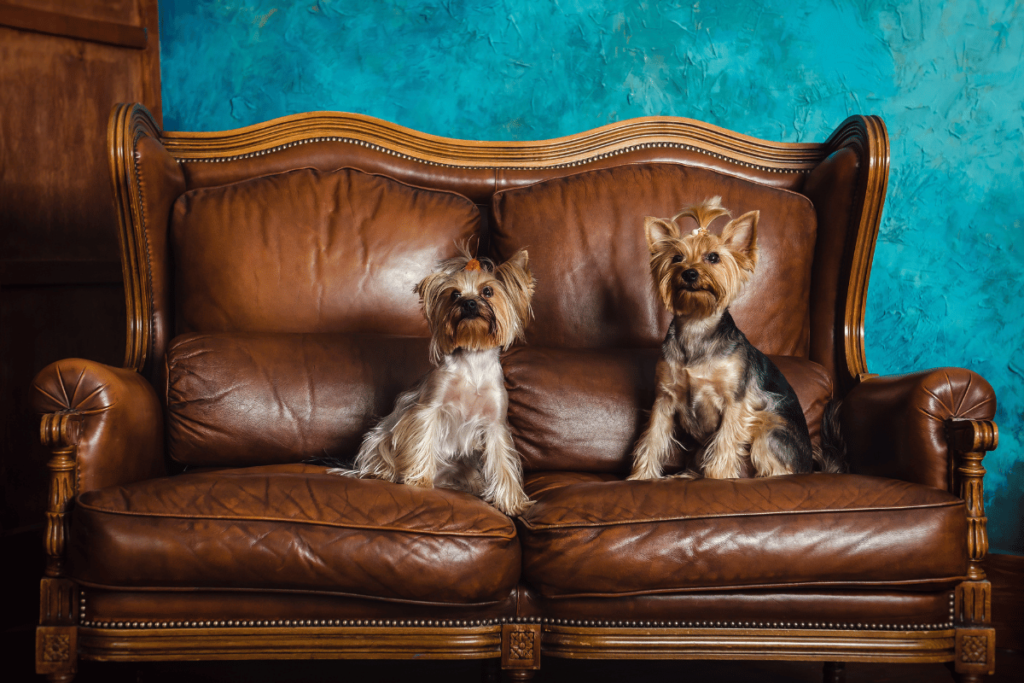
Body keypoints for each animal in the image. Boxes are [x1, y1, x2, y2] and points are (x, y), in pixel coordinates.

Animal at [622, 194, 839, 479]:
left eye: (713, 257)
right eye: (677, 257)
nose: (689, 273)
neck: (697, 324)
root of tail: (810, 469)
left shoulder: (735, 401)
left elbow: (726, 440)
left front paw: (719, 477)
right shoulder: (665, 399)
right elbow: (653, 438)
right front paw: (641, 477)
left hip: (769, 426)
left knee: (778, 467)